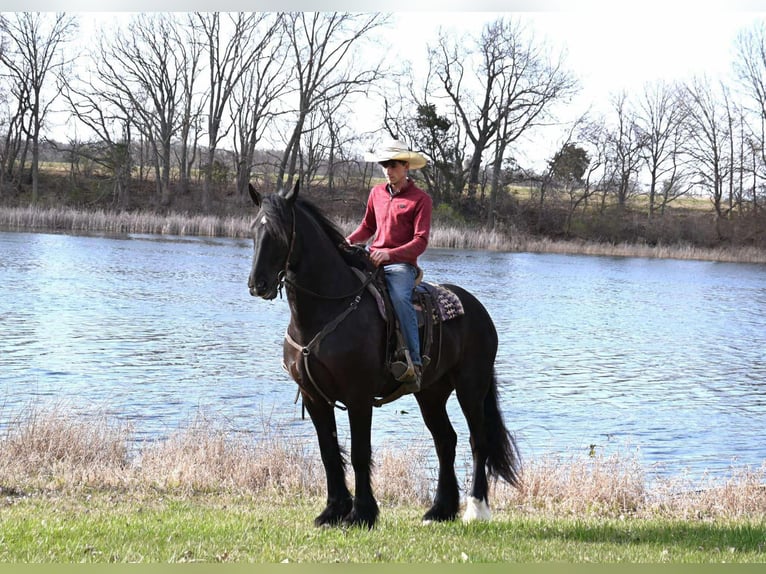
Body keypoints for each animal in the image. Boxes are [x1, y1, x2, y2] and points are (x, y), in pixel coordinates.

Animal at [247, 181, 520, 529]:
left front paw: (362, 513)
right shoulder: (314, 396)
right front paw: (333, 510)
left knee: (478, 441)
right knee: (446, 441)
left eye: (280, 234)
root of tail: (477, 309)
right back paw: (440, 510)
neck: (327, 309)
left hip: (471, 386)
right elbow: (328, 452)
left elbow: (360, 453)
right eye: (254, 230)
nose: (258, 284)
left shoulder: (358, 396)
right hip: (431, 392)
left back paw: (476, 509)